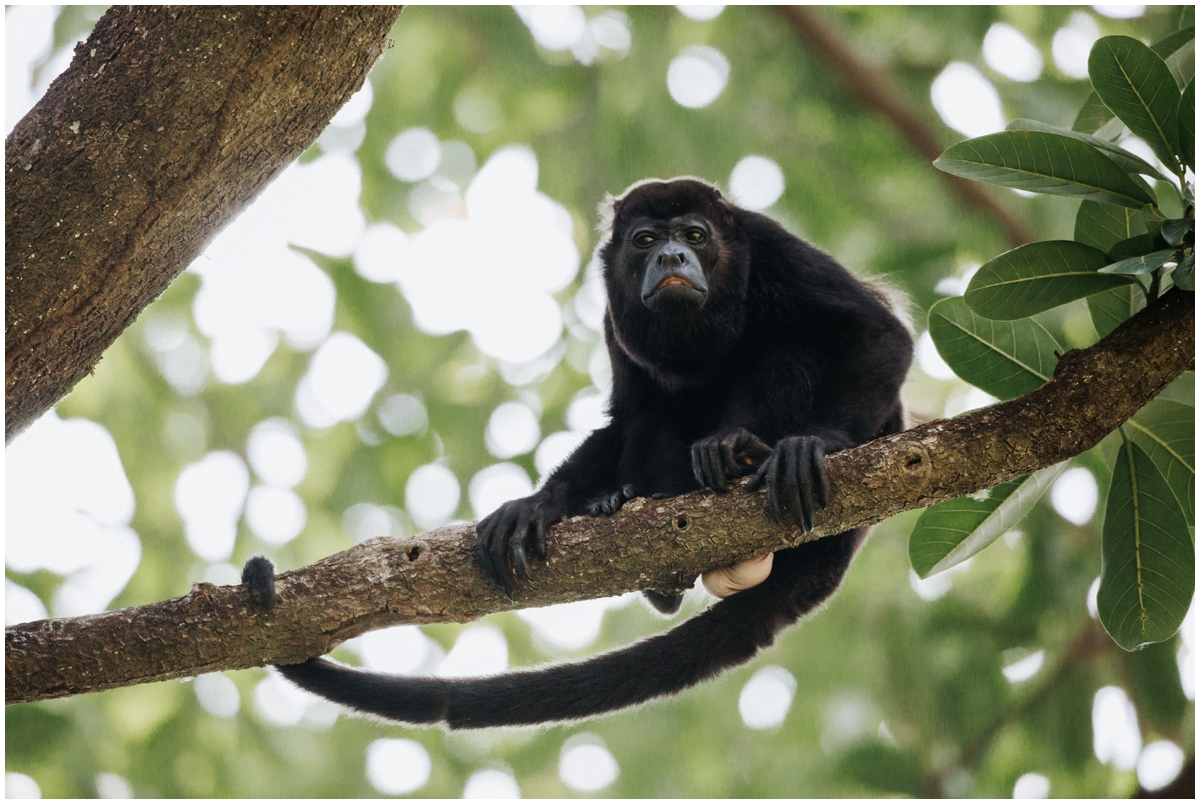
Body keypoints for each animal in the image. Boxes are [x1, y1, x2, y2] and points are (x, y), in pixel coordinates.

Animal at [248, 180, 912, 734]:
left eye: (694, 235)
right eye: (646, 240)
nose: (672, 258)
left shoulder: (772, 246)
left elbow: (876, 329)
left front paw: (816, 442)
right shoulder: (612, 308)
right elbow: (623, 417)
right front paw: (538, 504)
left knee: (788, 345)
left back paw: (743, 453)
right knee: (648, 416)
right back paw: (635, 516)